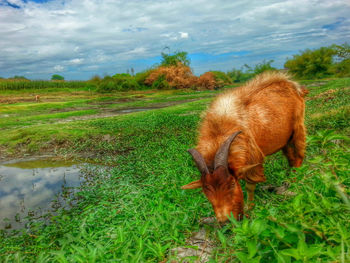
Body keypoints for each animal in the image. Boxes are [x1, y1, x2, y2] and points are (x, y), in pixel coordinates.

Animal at [182, 71, 308, 223]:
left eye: (231, 184)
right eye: (205, 190)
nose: (224, 221)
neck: (221, 128)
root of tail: (294, 86)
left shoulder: (254, 158)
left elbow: (250, 185)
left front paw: (250, 208)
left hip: (298, 129)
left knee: (298, 157)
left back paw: (294, 181)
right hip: (285, 140)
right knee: (291, 158)